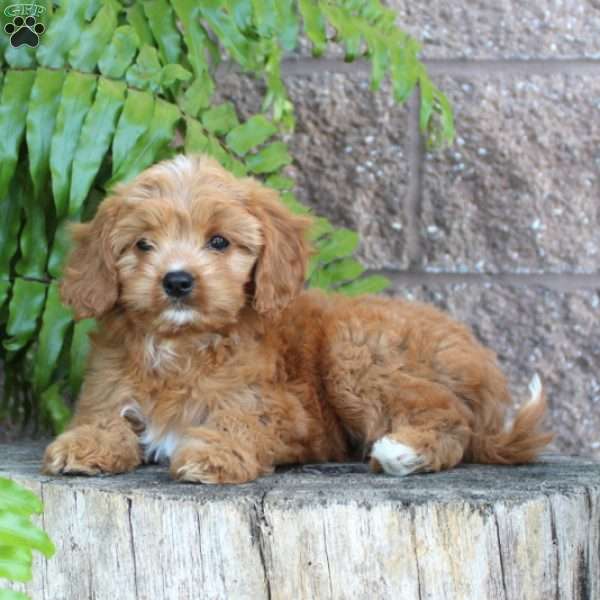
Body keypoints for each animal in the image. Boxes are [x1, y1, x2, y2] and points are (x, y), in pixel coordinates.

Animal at [43, 154, 552, 482]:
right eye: (143, 244)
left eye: (219, 241)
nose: (177, 281)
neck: (182, 344)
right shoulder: (107, 389)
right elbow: (105, 418)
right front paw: (82, 445)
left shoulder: (282, 406)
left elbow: (243, 418)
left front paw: (215, 453)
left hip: (356, 352)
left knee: (450, 418)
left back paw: (403, 452)